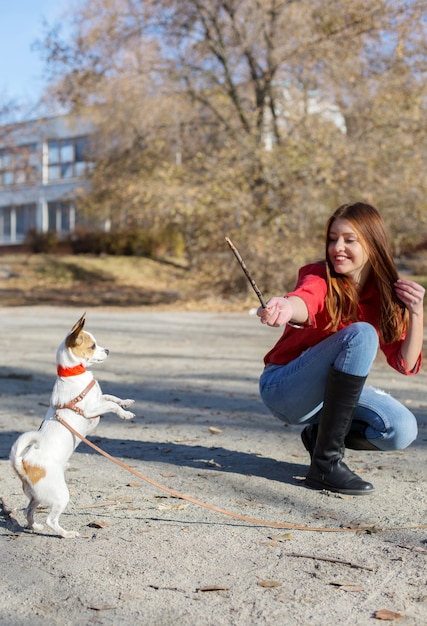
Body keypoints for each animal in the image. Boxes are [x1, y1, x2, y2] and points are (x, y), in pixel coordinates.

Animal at [10, 312, 135, 536]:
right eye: (93, 346)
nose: (108, 350)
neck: (73, 372)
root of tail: (23, 465)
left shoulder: (98, 399)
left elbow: (111, 398)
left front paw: (126, 402)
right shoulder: (91, 410)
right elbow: (111, 406)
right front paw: (125, 414)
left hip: (37, 496)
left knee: (28, 511)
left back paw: (34, 526)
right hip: (60, 495)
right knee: (51, 519)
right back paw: (65, 533)